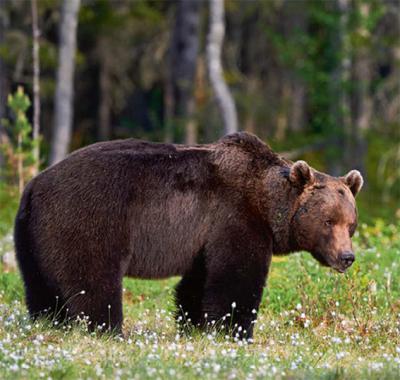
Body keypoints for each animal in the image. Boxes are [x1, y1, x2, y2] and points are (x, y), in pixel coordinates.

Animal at [14, 133, 362, 338]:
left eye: (351, 224)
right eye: (328, 220)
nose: (347, 257)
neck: (266, 203)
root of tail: (33, 186)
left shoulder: (204, 234)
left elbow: (198, 282)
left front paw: (195, 325)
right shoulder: (235, 218)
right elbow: (236, 279)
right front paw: (235, 331)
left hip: (35, 238)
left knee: (41, 285)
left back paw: (50, 322)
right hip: (89, 220)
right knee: (95, 280)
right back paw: (107, 329)